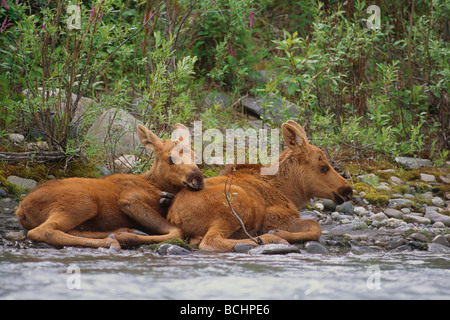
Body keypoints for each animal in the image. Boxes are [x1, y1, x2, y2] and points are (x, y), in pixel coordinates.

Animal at [14, 124, 204, 251]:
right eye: (171, 158)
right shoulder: (128, 199)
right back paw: (112, 240)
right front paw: (128, 237)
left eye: (195, 155)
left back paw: (118, 232)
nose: (198, 179)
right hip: (84, 202)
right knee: (42, 231)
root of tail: (21, 208)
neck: (156, 184)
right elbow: (177, 231)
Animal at [167, 120, 354, 252]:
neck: (290, 192)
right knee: (210, 241)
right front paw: (279, 233)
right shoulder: (274, 217)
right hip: (236, 205)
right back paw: (268, 239)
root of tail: (174, 215)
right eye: (323, 167)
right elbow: (316, 226)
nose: (348, 190)